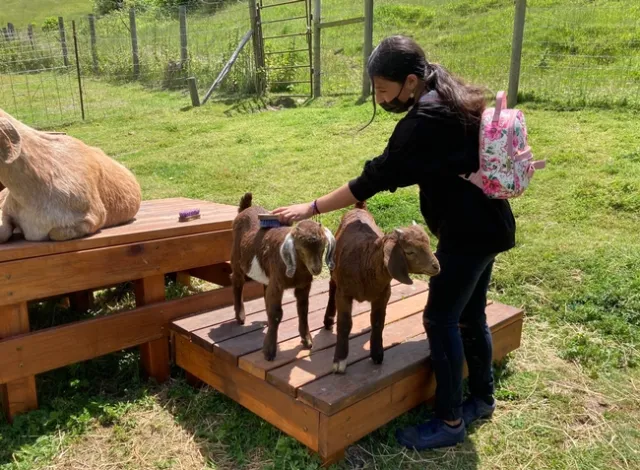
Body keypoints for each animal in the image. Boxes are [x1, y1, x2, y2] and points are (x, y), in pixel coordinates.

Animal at [230, 193, 336, 361]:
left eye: (323, 247)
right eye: (300, 248)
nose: (316, 269)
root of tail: (246, 208)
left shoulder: (303, 285)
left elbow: (303, 309)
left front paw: (307, 340)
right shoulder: (278, 284)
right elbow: (276, 314)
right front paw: (269, 351)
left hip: (267, 274)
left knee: (264, 288)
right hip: (236, 257)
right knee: (237, 280)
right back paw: (240, 316)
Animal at [324, 201, 440, 374]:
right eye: (409, 252)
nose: (436, 266)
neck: (366, 261)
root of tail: (359, 208)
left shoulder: (383, 293)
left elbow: (378, 321)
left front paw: (377, 354)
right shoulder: (344, 293)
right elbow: (344, 325)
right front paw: (339, 361)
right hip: (334, 269)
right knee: (332, 287)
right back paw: (328, 319)